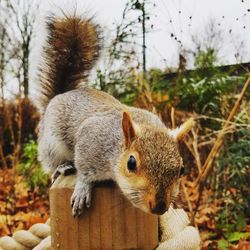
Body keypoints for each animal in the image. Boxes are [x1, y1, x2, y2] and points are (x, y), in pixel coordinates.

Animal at [36, 14, 194, 217]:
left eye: (182, 169)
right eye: (131, 163)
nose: (159, 206)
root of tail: (60, 95)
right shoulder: (90, 139)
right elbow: (84, 171)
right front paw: (82, 189)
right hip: (51, 143)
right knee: (50, 163)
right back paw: (61, 167)